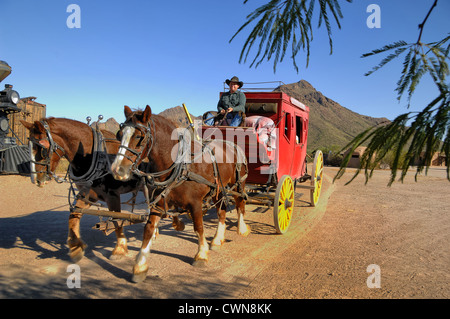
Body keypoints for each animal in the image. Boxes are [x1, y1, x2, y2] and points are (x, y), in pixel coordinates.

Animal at [20, 117, 146, 262]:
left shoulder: (112, 195)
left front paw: (119, 249)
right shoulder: (89, 194)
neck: (94, 156)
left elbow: (116, 220)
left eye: (42, 148)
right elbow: (74, 216)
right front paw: (76, 247)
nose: (35, 179)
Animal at [110, 106, 250, 284]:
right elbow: (148, 229)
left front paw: (201, 255)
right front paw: (140, 266)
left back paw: (242, 228)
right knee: (222, 210)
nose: (116, 170)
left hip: (238, 183)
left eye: (139, 136)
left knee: (240, 204)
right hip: (218, 189)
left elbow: (199, 227)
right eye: (119, 134)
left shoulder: (196, 203)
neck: (181, 166)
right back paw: (218, 239)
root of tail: (232, 145)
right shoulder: (158, 203)